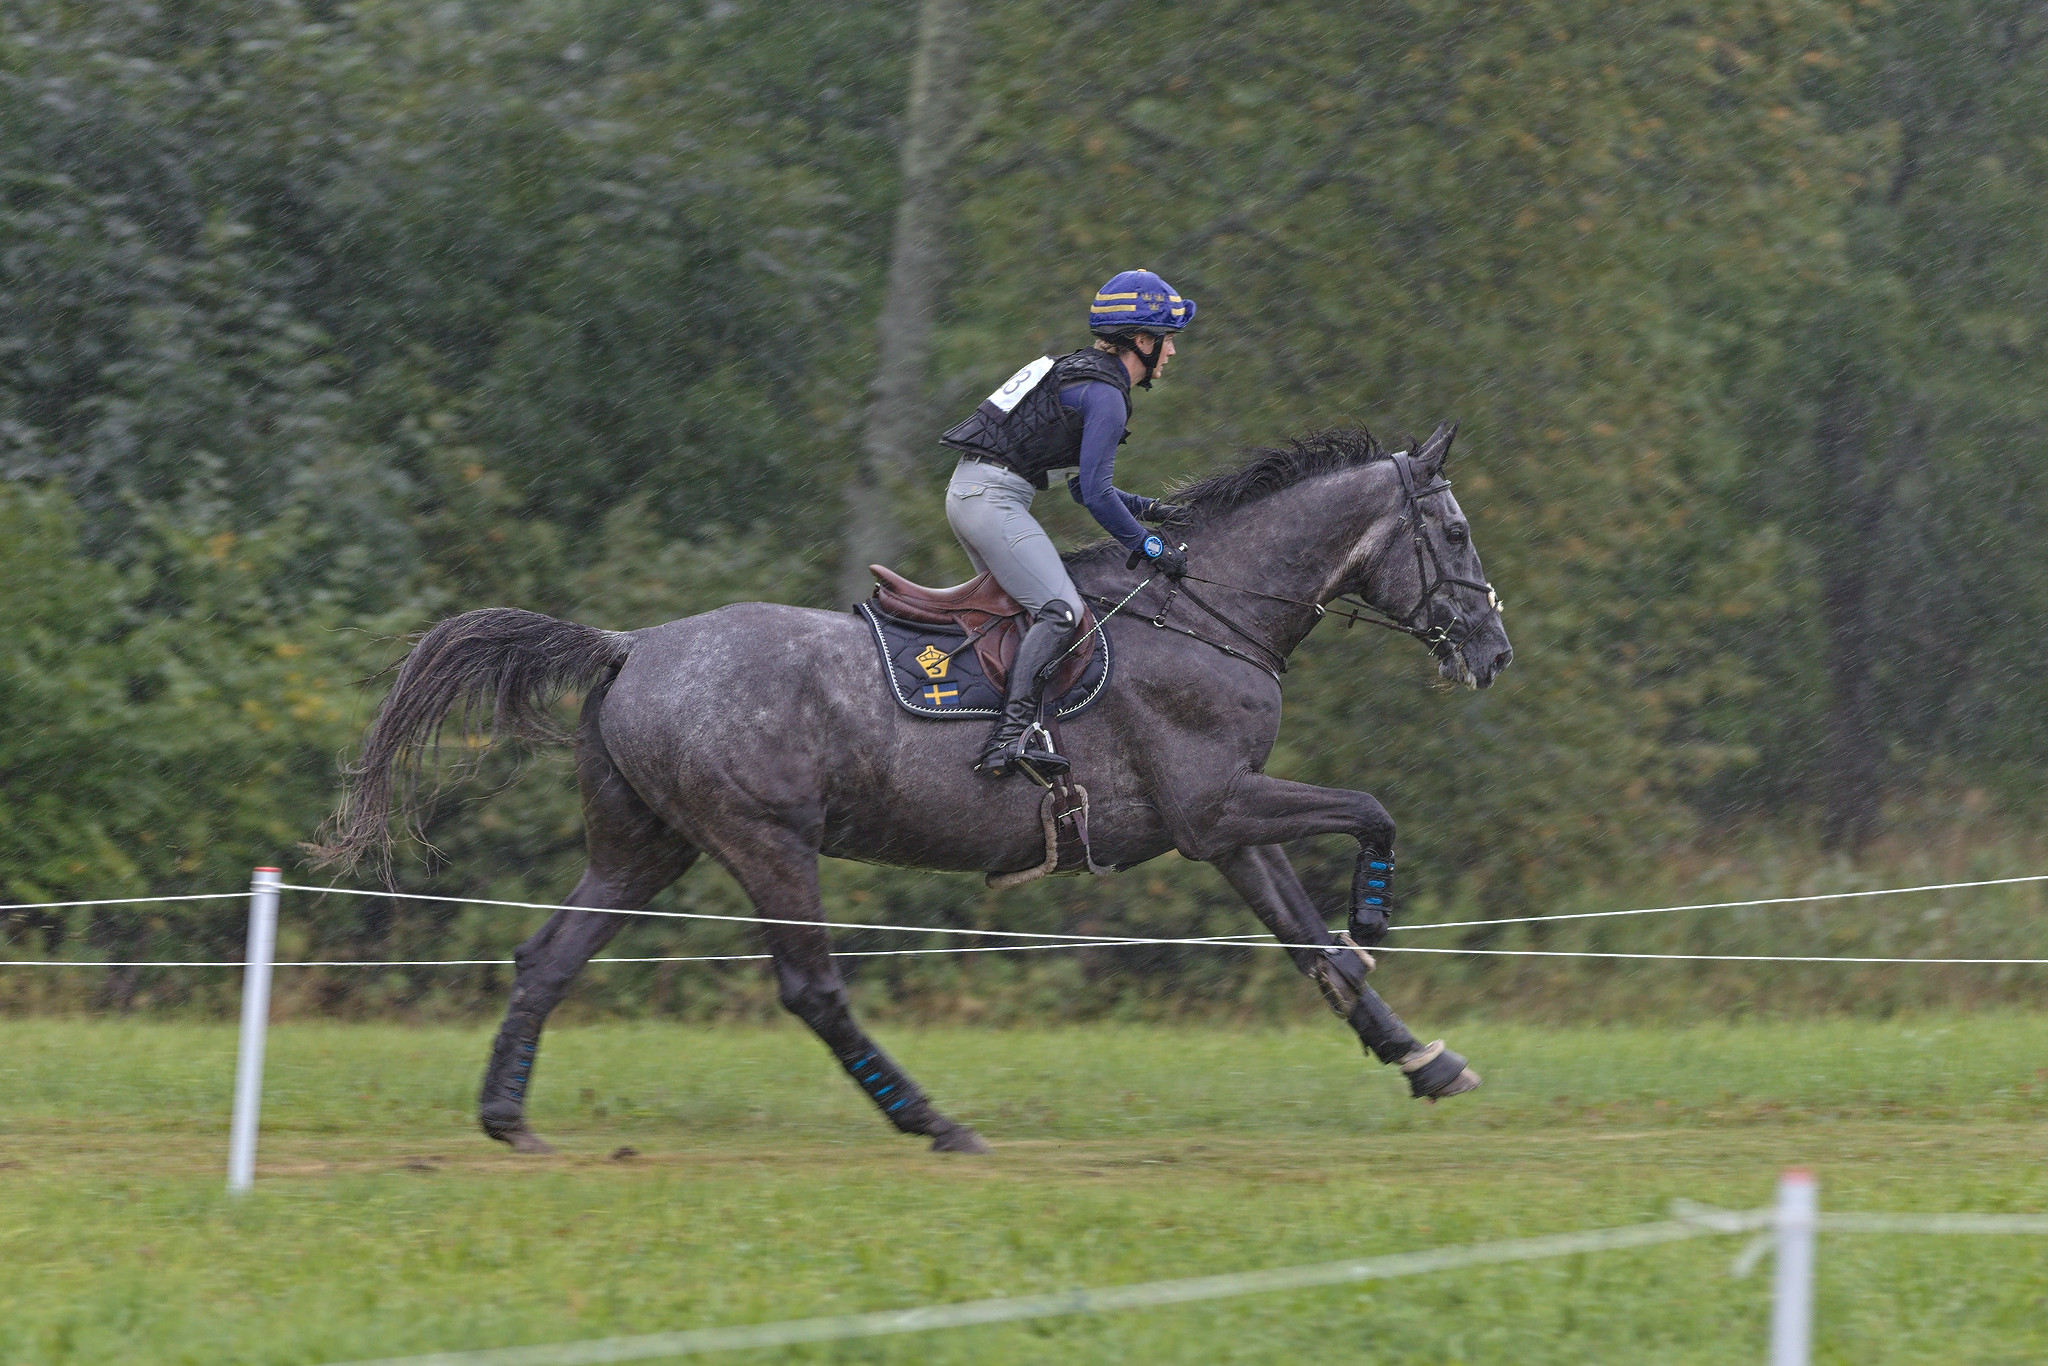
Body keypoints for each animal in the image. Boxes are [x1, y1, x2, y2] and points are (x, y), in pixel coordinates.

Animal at [315, 423, 1507, 1155]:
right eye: (1452, 532)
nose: (1493, 652)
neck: (1207, 608)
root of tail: (631, 645)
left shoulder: (1223, 821)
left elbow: (1308, 943)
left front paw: (1422, 1059)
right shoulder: (1214, 808)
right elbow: (1371, 819)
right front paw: (1377, 914)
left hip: (644, 845)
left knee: (548, 957)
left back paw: (506, 1116)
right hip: (765, 841)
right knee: (812, 990)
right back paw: (935, 1122)